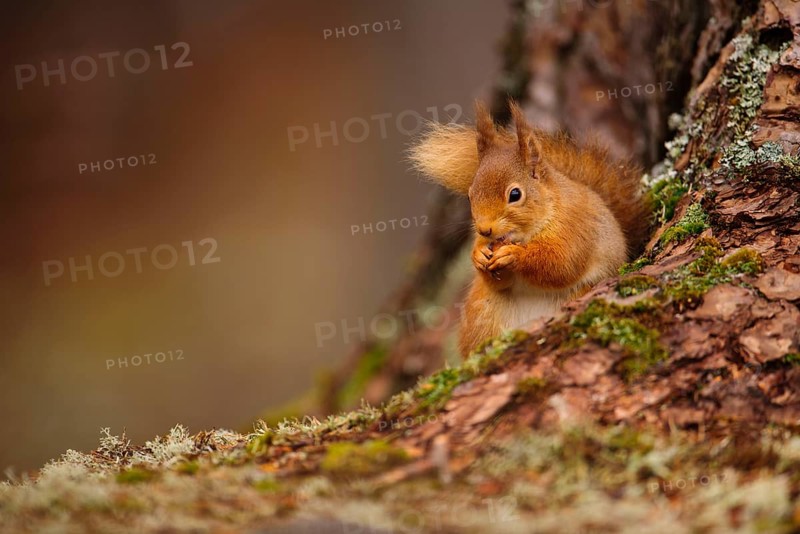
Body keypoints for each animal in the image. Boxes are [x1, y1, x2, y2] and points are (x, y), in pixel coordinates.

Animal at [409, 101, 652, 357]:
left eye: (515, 194)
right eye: (469, 195)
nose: (485, 230)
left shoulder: (576, 226)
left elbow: (561, 263)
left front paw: (514, 255)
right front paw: (478, 254)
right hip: (484, 313)